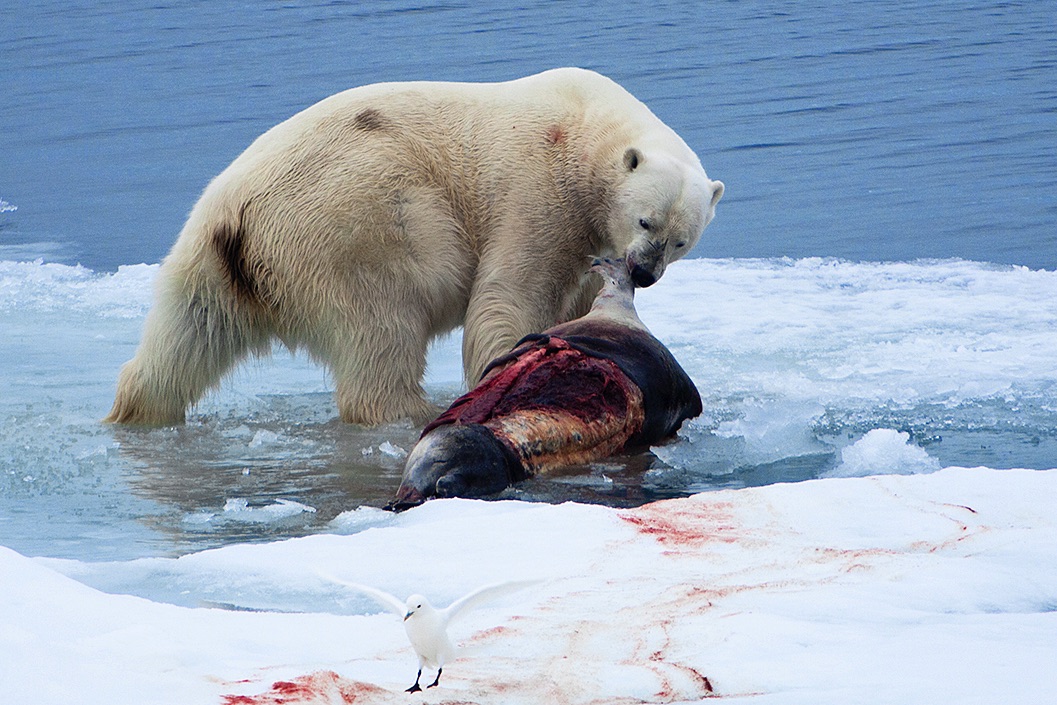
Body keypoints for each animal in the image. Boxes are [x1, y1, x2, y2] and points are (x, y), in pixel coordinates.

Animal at [103, 68, 722, 424]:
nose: (643, 273)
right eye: (644, 220)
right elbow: (510, 291)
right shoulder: (536, 187)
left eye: (681, 241)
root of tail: (236, 218)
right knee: (386, 319)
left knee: (185, 338)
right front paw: (509, 363)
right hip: (354, 222)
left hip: (208, 262)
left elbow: (572, 294)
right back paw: (414, 407)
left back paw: (137, 410)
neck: (587, 123)